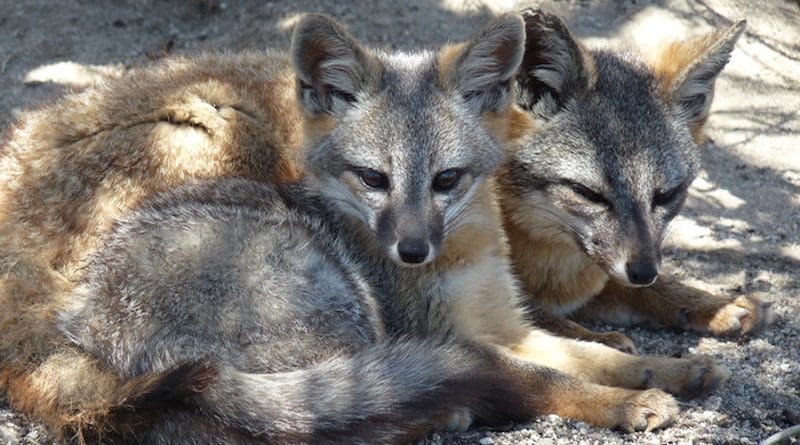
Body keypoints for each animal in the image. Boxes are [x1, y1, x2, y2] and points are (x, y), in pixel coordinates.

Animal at [53, 12, 728, 442]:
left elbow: (590, 355)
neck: (470, 260)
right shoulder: (458, 339)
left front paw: (669, 371)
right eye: (373, 179)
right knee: (316, 422)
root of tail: (99, 332)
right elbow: (554, 380)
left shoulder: (505, 326)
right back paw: (442, 413)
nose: (411, 249)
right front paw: (625, 404)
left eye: (447, 179)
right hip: (342, 310)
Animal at [500, 8, 776, 352]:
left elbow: (654, 289)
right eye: (587, 193)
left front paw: (713, 305)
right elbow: (531, 314)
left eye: (666, 195)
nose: (643, 271)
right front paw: (598, 341)